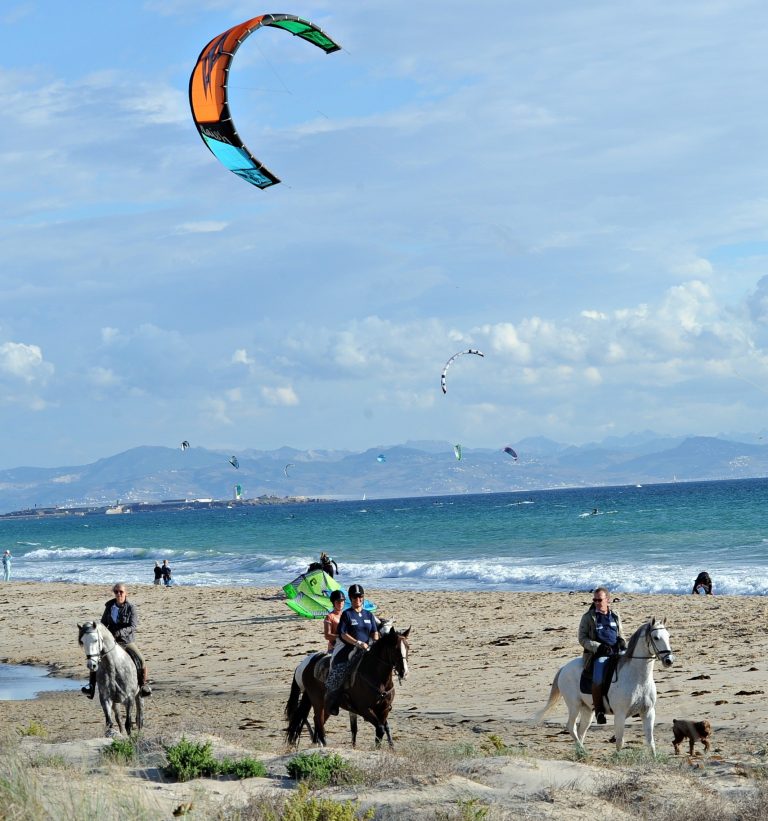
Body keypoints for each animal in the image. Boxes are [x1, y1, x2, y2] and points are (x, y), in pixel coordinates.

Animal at [284, 624, 412, 748]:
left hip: (325, 704)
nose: (404, 672)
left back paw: (318, 743)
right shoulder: (364, 709)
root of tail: (305, 664)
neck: (377, 678)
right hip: (317, 701)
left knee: (319, 720)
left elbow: (381, 731)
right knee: (318, 719)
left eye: (407, 647)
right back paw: (323, 743)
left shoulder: (383, 710)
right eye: (395, 648)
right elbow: (380, 728)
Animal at [536, 620, 676, 752]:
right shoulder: (620, 715)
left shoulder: (648, 712)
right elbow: (619, 742)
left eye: (668, 635)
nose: (669, 660)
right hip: (574, 706)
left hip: (587, 710)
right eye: (656, 637)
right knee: (572, 727)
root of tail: (564, 668)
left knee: (581, 731)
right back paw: (583, 752)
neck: (638, 679)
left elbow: (650, 742)